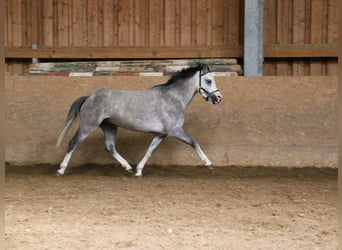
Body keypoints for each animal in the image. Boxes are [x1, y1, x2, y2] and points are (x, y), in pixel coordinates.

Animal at [56, 64, 222, 178]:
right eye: (208, 81)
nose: (218, 98)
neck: (173, 98)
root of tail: (89, 97)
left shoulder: (161, 134)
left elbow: (150, 151)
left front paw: (139, 171)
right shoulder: (175, 131)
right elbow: (194, 143)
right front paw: (209, 164)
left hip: (110, 126)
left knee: (109, 147)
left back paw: (128, 167)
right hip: (88, 126)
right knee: (73, 143)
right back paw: (61, 170)